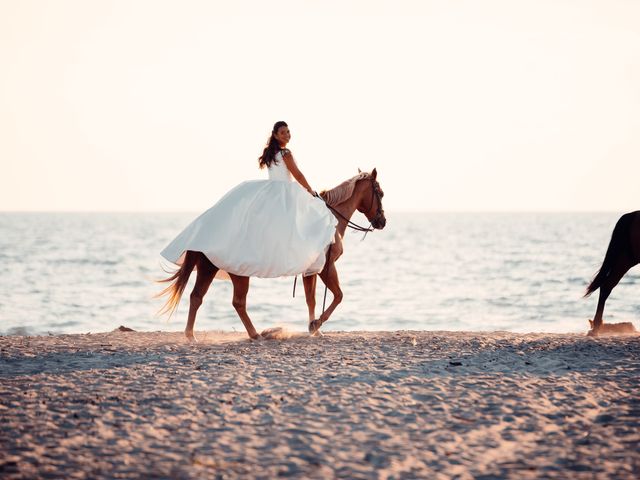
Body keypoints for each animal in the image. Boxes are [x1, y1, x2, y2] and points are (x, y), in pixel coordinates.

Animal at [156, 169, 384, 342]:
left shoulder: (311, 271)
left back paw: (192, 336)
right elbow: (338, 296)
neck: (332, 219)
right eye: (380, 193)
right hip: (238, 273)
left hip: (208, 267)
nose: (382, 222)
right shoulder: (326, 268)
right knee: (237, 302)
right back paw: (255, 334)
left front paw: (314, 329)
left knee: (197, 297)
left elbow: (311, 299)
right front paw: (316, 325)